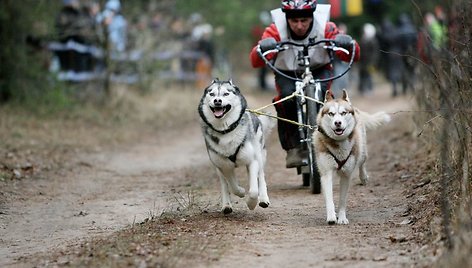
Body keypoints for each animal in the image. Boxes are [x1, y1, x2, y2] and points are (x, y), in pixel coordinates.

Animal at [197, 78, 274, 214]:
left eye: (226, 94)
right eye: (212, 94)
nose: (217, 101)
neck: (225, 130)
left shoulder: (252, 161)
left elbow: (253, 190)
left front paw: (251, 204)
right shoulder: (224, 166)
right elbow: (232, 185)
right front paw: (241, 192)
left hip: (260, 155)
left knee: (261, 176)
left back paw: (264, 199)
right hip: (217, 166)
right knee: (224, 184)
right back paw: (226, 205)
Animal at [314, 90, 390, 224]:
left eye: (343, 113)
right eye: (331, 114)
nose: (337, 123)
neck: (338, 144)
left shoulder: (346, 175)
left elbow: (342, 200)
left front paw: (342, 217)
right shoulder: (326, 173)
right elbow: (329, 198)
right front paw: (332, 216)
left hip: (362, 150)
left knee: (362, 162)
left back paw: (363, 177)